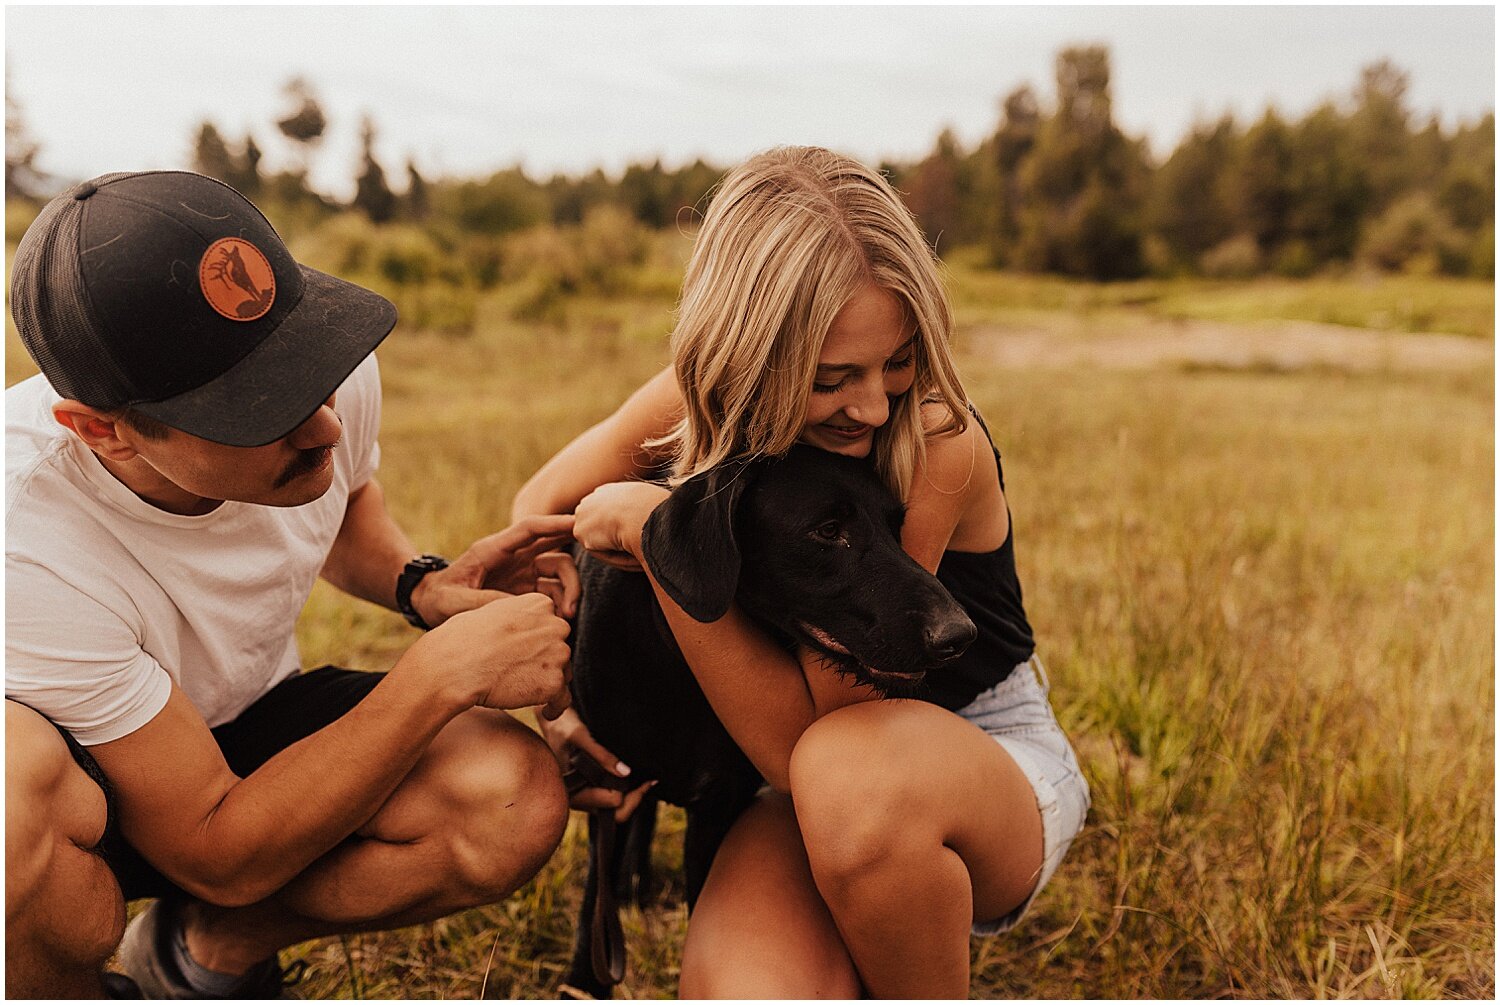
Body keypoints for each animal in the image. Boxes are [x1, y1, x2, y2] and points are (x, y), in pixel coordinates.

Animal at [561, 447, 972, 1002]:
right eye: (827, 531)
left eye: (897, 527)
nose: (960, 635)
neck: (678, 658)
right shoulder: (608, 784)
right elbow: (594, 902)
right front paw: (585, 979)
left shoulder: (720, 805)